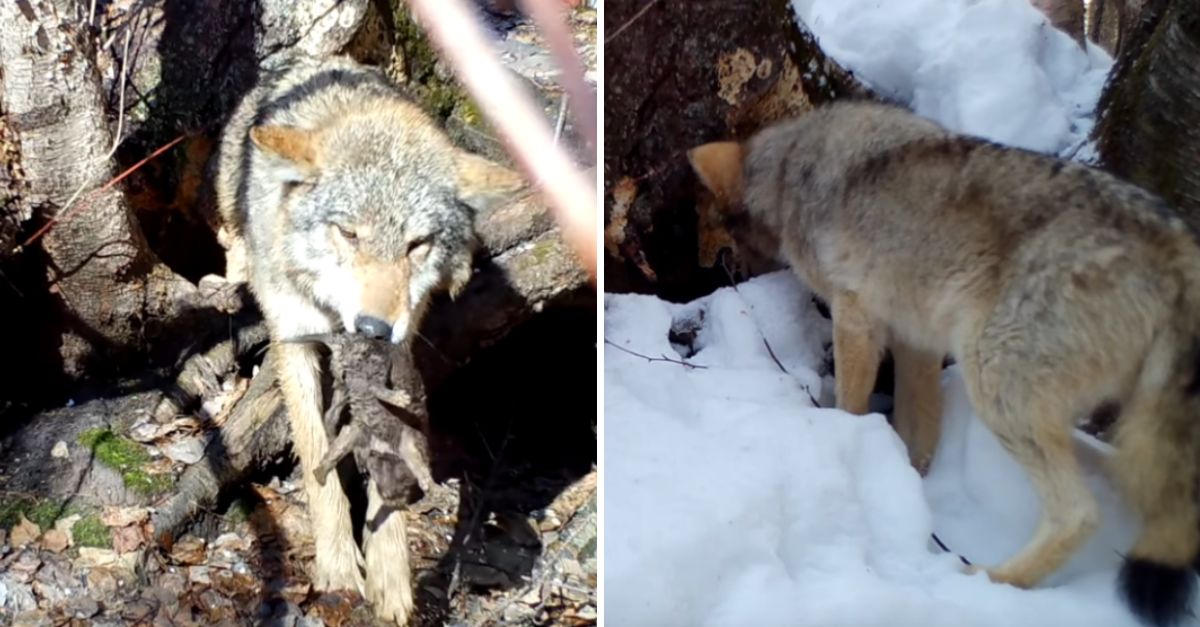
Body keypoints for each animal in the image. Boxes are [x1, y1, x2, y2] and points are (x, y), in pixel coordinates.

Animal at [214, 53, 525, 624]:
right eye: (349, 234)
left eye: (417, 244)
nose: (374, 328)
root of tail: (317, 58)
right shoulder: (294, 339)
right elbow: (318, 463)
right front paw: (338, 567)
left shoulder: (397, 353)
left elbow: (388, 448)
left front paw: (390, 575)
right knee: (231, 236)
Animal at [688, 100, 1200, 627]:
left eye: (724, 228)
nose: (732, 272)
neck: (793, 167)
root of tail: (1176, 244)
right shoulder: (917, 341)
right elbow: (918, 432)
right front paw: (907, 480)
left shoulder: (856, 315)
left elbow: (851, 406)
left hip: (993, 381)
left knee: (1079, 513)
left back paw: (993, 579)